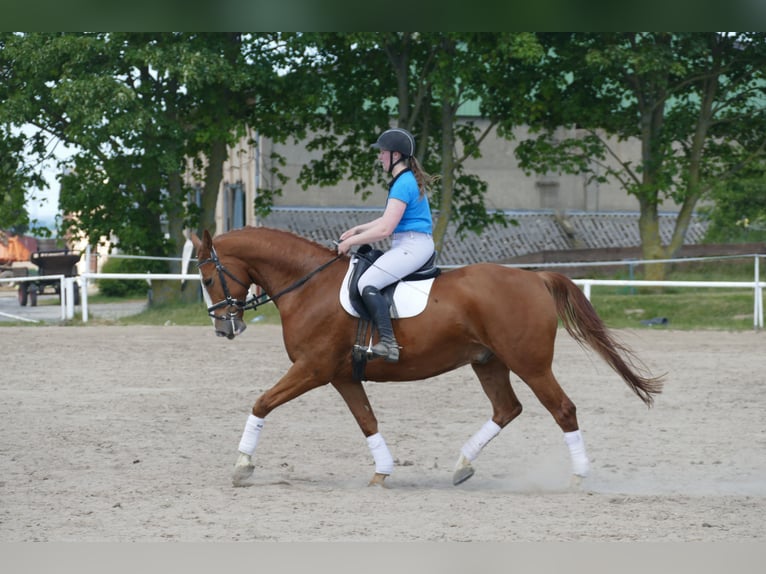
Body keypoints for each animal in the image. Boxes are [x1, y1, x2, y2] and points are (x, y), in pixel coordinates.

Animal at [192, 226, 663, 488]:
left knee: (562, 409)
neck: (308, 285)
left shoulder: (312, 368)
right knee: (506, 409)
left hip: (530, 364)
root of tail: (536, 279)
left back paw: (579, 477)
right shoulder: (343, 376)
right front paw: (383, 471)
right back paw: (461, 466)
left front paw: (242, 467)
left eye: (209, 278)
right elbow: (367, 421)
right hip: (488, 361)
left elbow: (261, 403)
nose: (223, 328)